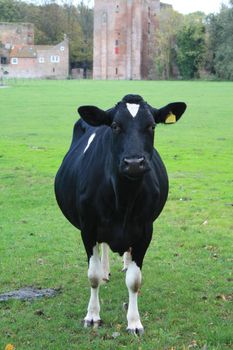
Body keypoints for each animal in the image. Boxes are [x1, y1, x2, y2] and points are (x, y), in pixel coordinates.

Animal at [54, 94, 186, 334]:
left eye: (152, 126)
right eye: (115, 126)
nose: (134, 162)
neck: (123, 200)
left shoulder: (145, 231)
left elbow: (134, 281)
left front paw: (134, 322)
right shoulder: (88, 229)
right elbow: (92, 276)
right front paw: (92, 316)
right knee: (103, 248)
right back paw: (105, 271)